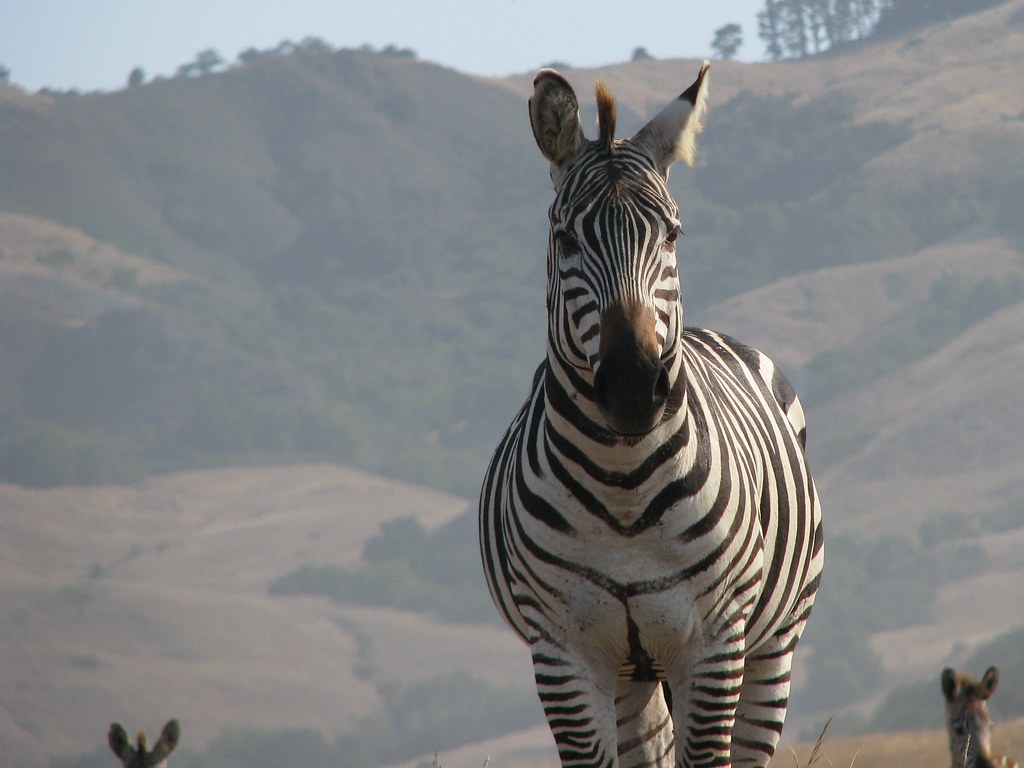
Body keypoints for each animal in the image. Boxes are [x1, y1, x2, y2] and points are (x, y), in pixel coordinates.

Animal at [478, 62, 824, 768]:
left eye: (672, 233)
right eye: (565, 238)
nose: (636, 388)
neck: (625, 490)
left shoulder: (713, 643)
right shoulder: (563, 652)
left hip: (773, 645)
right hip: (631, 673)